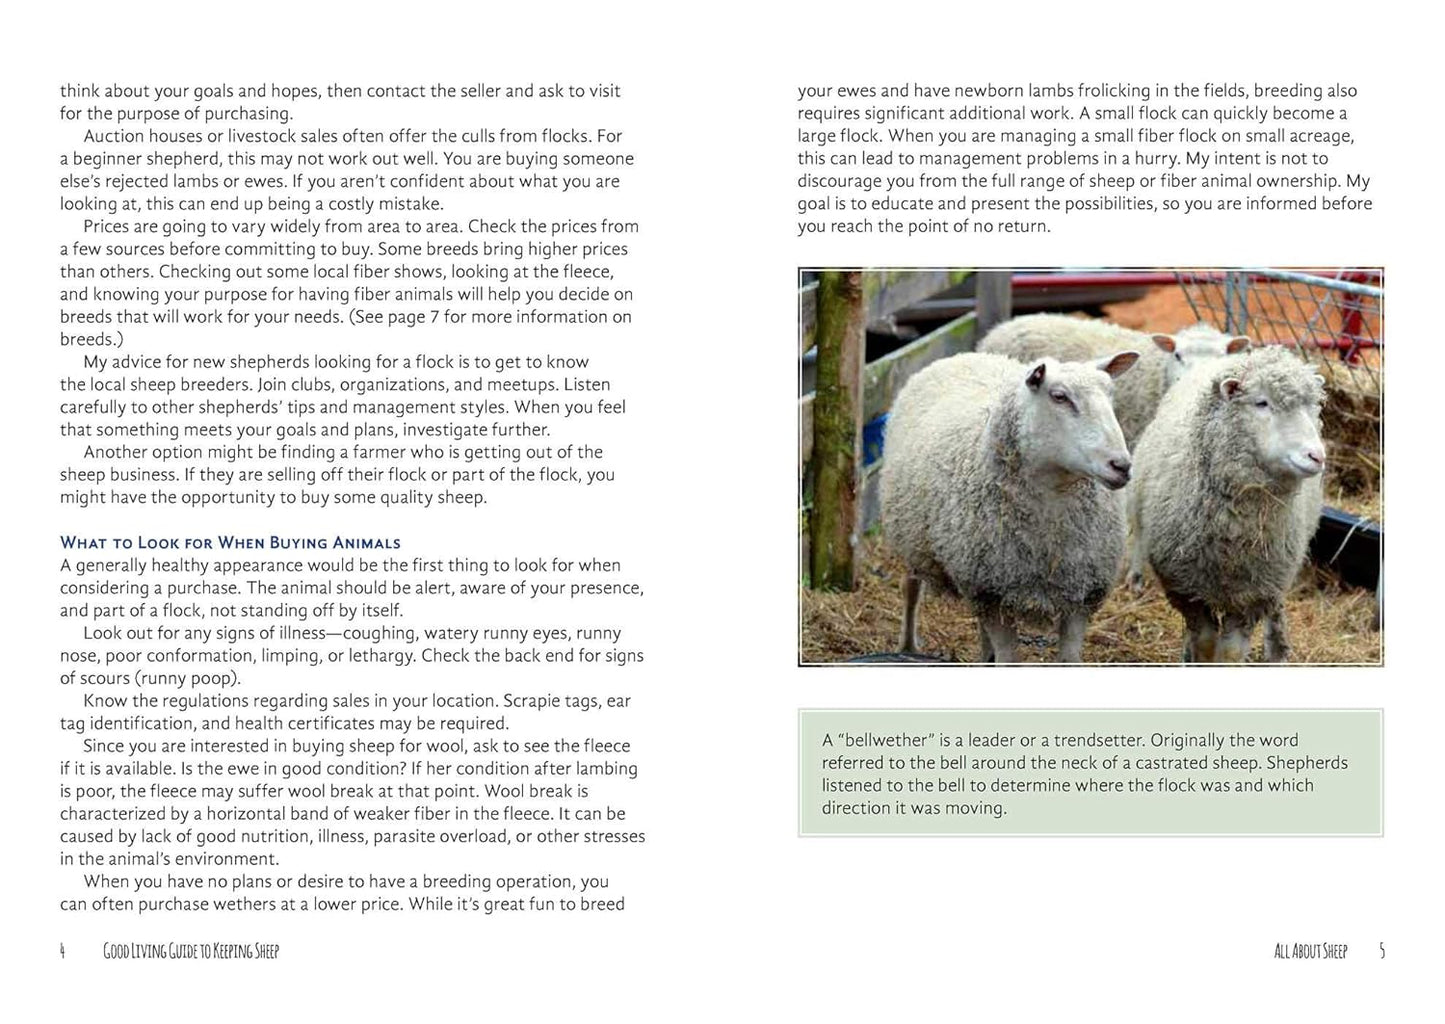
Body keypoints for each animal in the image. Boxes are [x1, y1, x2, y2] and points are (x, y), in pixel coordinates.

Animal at [881, 349, 1139, 662]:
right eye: (1059, 396)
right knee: (910, 588)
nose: (1121, 466)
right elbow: (1007, 659)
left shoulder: (1082, 595)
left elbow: (1068, 660)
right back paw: (907, 645)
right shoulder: (991, 593)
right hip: (911, 537)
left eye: (1110, 393)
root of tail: (965, 354)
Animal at [1126, 346, 1327, 662]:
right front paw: (1197, 656)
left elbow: (1230, 654)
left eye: (1314, 408)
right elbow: (1206, 643)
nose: (1316, 456)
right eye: (1261, 403)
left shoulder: (1254, 594)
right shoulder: (1187, 588)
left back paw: (1277, 649)